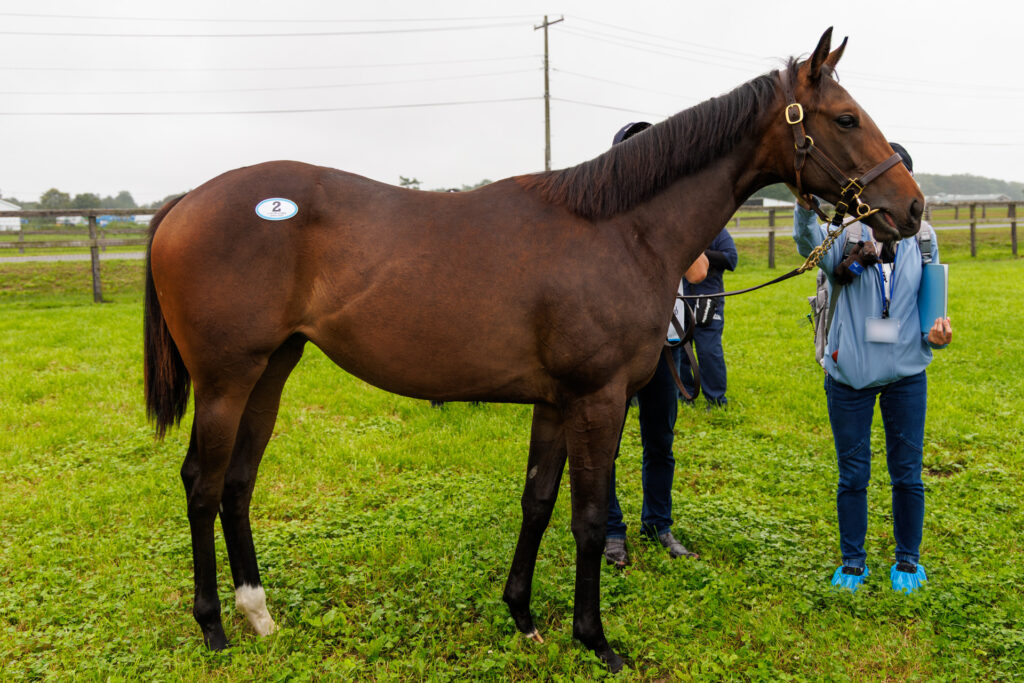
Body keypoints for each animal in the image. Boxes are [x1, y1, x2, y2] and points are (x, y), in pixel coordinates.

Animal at [143, 28, 922, 671]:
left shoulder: (554, 403)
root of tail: (184, 203)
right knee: (203, 483)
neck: (619, 228)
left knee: (238, 483)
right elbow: (588, 519)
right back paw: (213, 627)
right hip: (226, 381)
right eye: (846, 118)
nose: (910, 207)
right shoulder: (598, 400)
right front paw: (596, 638)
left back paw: (258, 613)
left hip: (270, 372)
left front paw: (522, 615)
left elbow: (538, 503)